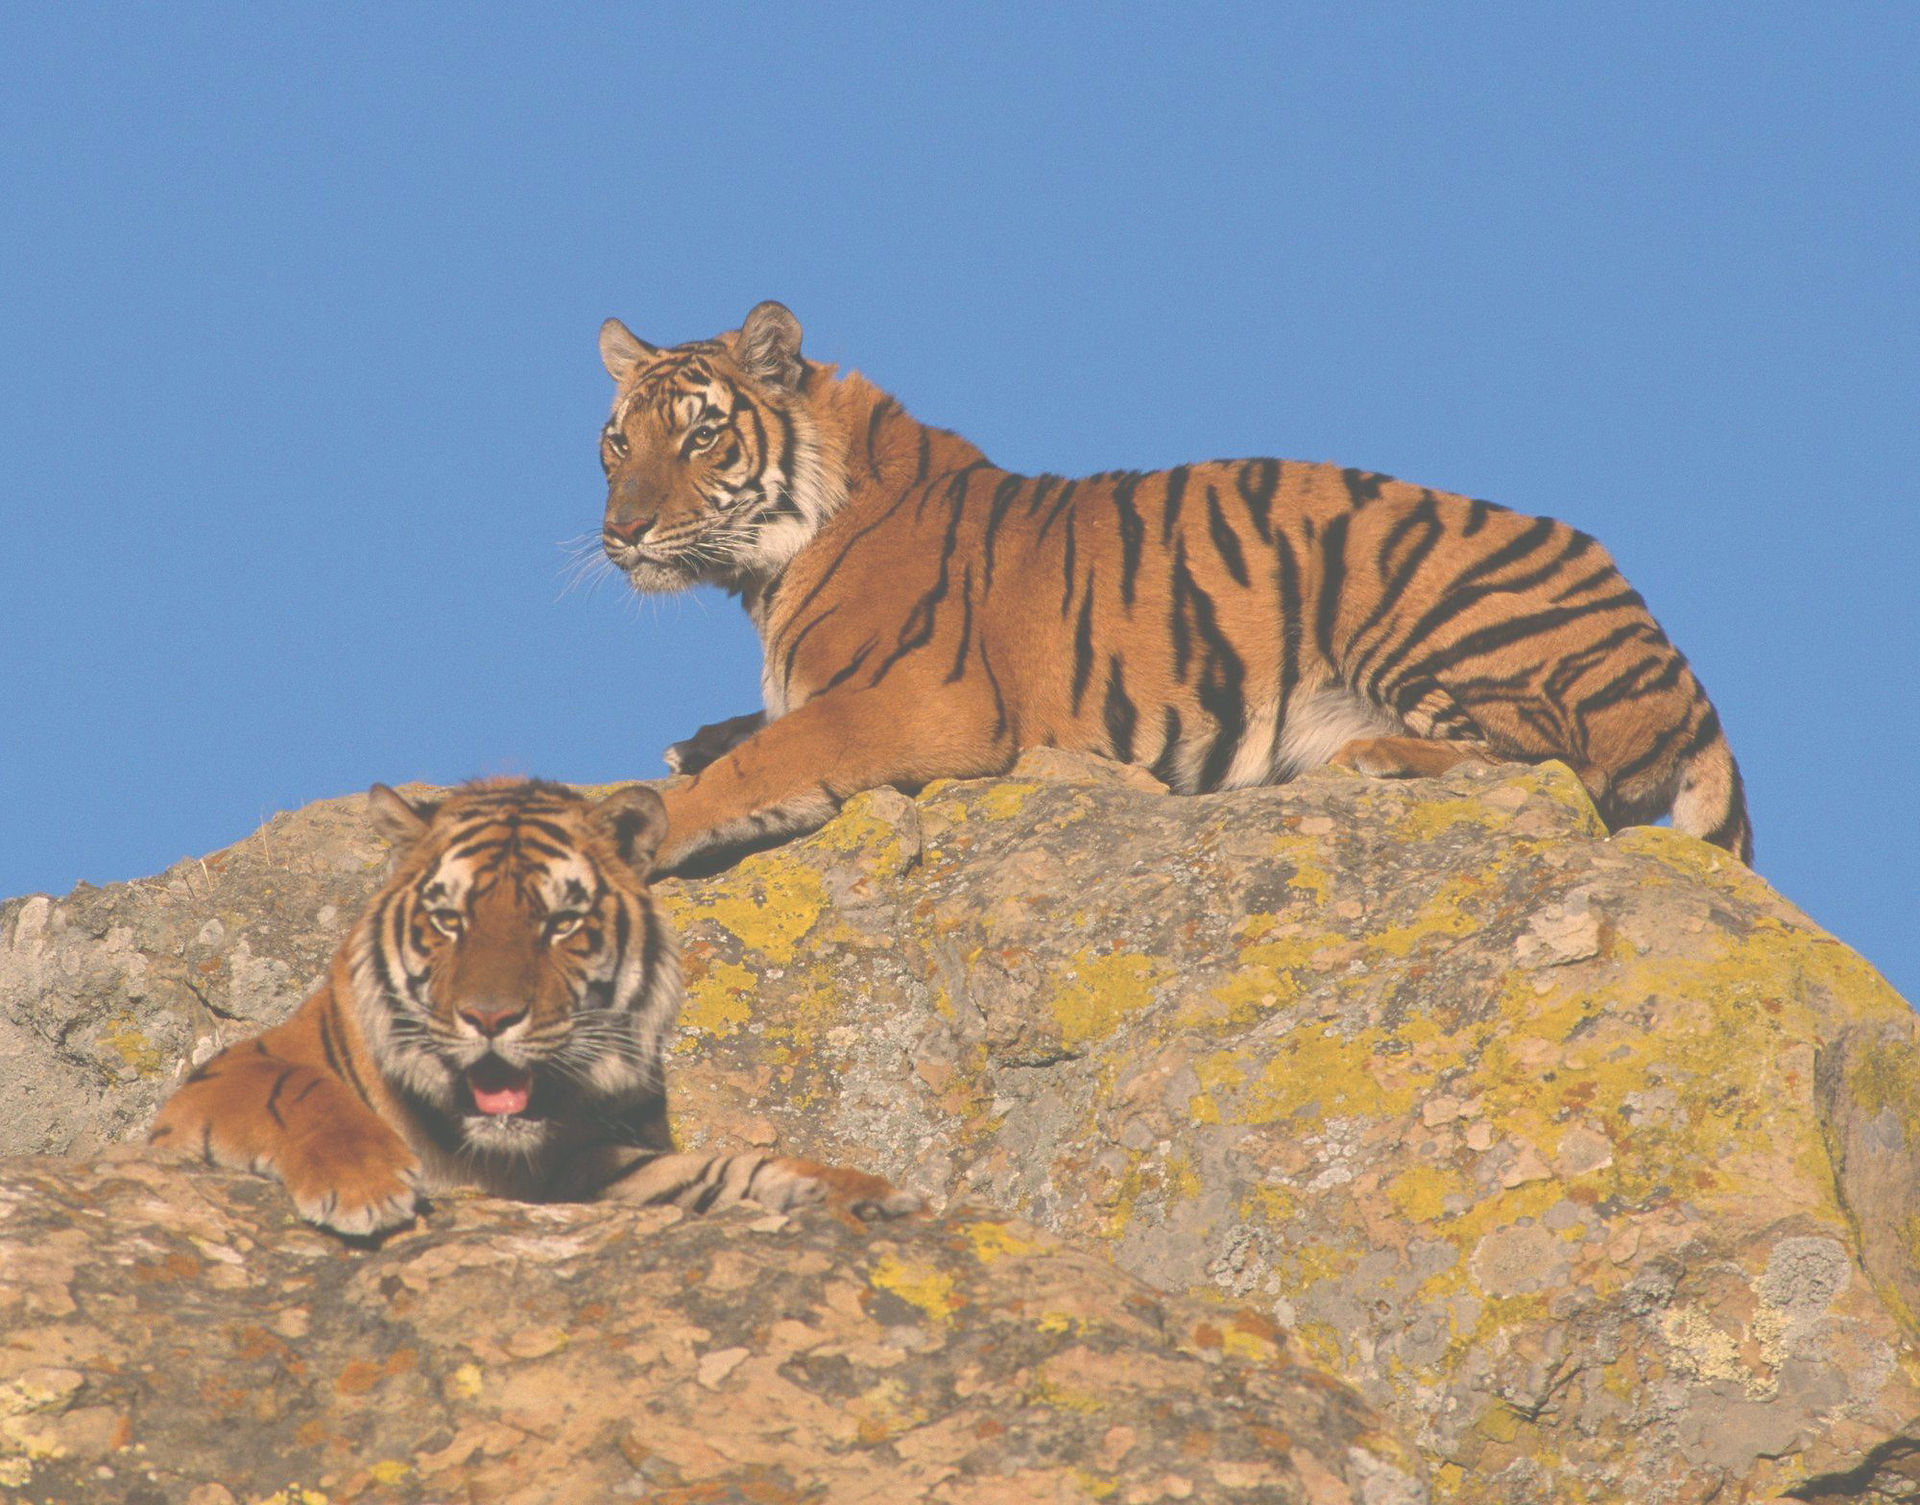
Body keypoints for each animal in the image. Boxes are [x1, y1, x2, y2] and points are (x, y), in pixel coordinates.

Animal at [150, 778, 917, 1237]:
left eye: (560, 923)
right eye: (450, 920)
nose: (490, 1019)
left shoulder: (579, 1170)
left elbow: (722, 1169)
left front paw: (856, 1190)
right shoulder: (224, 1080)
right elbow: (302, 1090)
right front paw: (364, 1183)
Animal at [595, 300, 1752, 875]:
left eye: (701, 434)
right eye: (618, 442)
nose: (621, 531)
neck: (765, 569)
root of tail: (1679, 662)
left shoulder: (923, 699)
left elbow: (767, 760)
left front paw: (653, 818)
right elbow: (753, 733)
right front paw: (692, 743)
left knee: (1561, 761)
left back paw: (1374, 755)